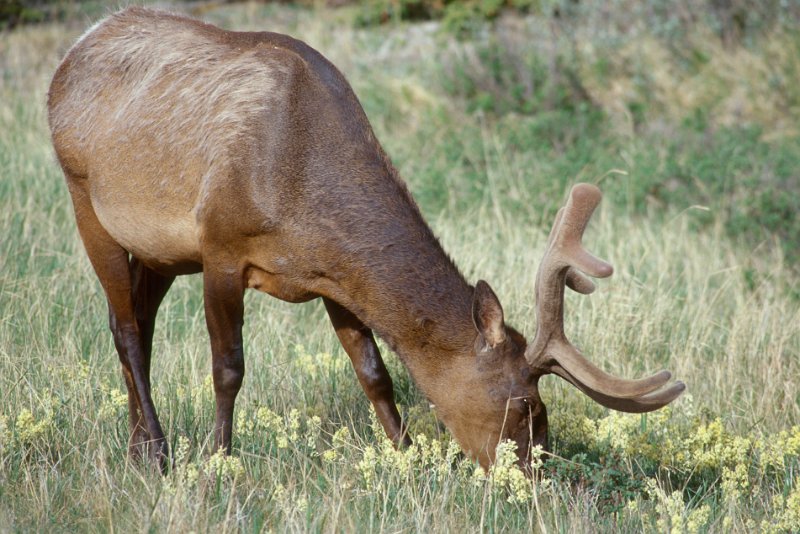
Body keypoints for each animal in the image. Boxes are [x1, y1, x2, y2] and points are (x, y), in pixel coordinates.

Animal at [47, 6, 684, 472]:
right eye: (525, 402)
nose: (537, 472)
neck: (300, 190)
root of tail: (69, 58)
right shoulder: (221, 245)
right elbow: (228, 367)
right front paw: (220, 461)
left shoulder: (332, 276)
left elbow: (375, 370)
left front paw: (406, 457)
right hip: (86, 199)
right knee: (126, 329)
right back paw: (156, 453)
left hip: (162, 251)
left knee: (137, 320)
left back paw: (137, 444)